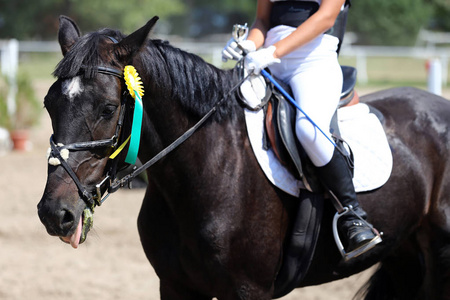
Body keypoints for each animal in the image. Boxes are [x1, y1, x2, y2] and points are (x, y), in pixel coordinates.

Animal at [37, 16, 450, 300]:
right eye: (49, 103)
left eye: (108, 109)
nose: (55, 213)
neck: (208, 169)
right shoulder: (175, 286)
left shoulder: (248, 290)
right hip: (403, 254)